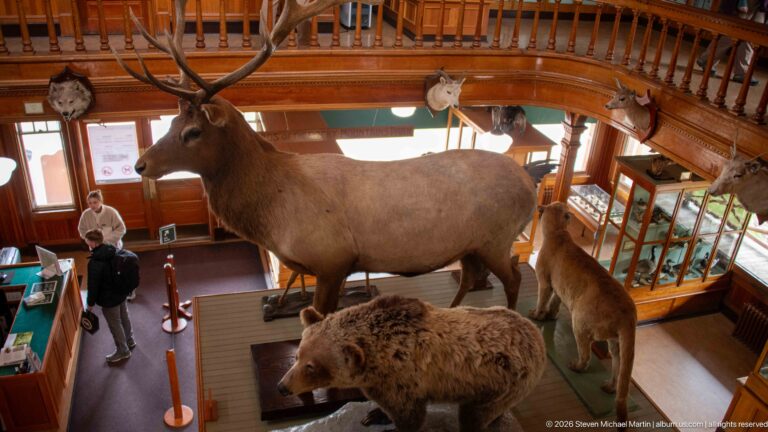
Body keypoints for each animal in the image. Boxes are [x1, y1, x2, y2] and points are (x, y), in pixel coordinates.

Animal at [114, 0, 537, 315]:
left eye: (193, 132)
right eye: (171, 120)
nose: (141, 164)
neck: (271, 212)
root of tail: (531, 187)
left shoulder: (332, 259)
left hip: (497, 238)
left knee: (515, 276)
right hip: (472, 245)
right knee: (470, 277)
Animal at [277, 295, 546, 432]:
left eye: (312, 366)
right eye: (298, 355)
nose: (282, 387)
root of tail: (536, 334)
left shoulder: (403, 380)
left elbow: (410, 417)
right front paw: (374, 414)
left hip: (503, 382)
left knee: (475, 416)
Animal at [529, 202, 637, 431]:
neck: (558, 232)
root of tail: (629, 314)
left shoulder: (545, 281)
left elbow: (542, 300)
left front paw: (537, 315)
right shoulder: (560, 289)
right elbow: (554, 303)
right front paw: (550, 316)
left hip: (579, 321)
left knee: (586, 354)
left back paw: (576, 367)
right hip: (616, 343)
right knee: (618, 366)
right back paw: (609, 387)